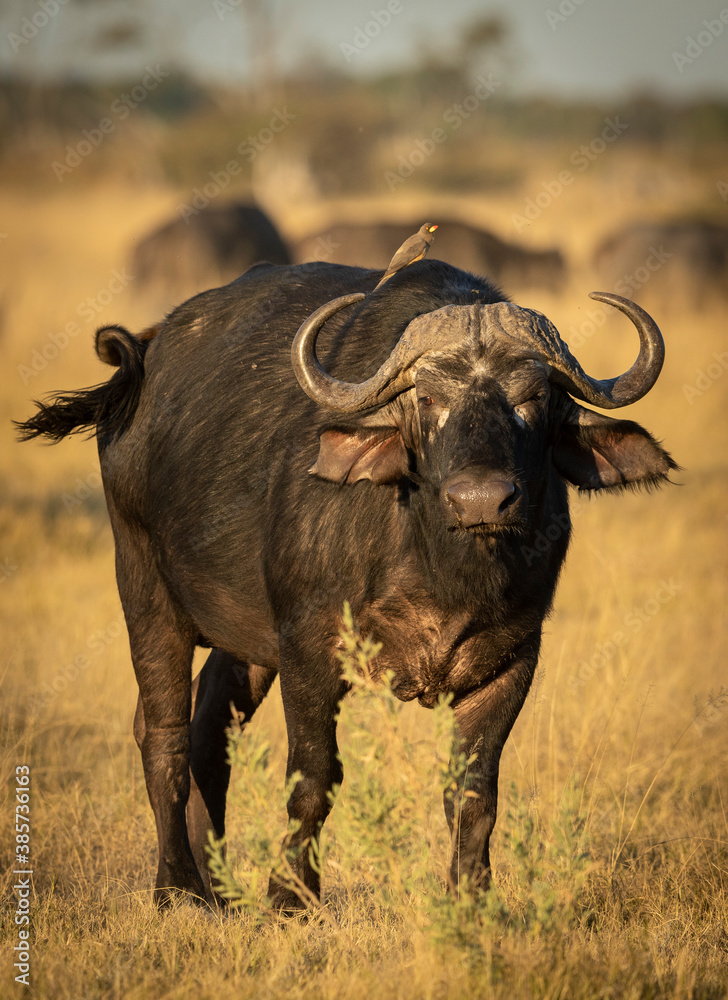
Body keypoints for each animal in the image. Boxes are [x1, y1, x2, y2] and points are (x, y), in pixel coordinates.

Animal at [17, 258, 674, 910]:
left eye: (533, 398)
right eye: (427, 398)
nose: (482, 500)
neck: (440, 565)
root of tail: (144, 357)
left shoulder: (512, 661)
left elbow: (474, 793)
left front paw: (473, 899)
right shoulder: (310, 648)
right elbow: (313, 777)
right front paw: (290, 897)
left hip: (247, 642)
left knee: (207, 732)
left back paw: (218, 888)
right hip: (146, 593)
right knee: (163, 738)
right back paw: (178, 887)